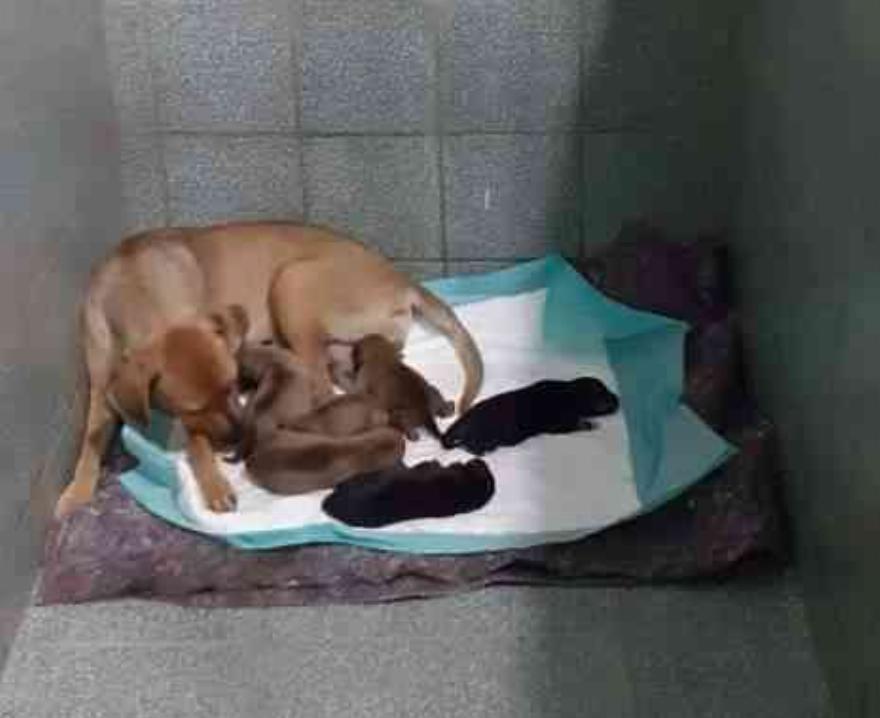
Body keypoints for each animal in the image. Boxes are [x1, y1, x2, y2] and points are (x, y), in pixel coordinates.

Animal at [57, 222, 483, 517]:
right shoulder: (102, 384)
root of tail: (404, 282)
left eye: (233, 385)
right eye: (195, 405)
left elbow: (195, 441)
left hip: (291, 284)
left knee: (321, 387)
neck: (136, 287)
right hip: (343, 343)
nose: (237, 436)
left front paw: (214, 485)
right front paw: (77, 490)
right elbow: (91, 437)